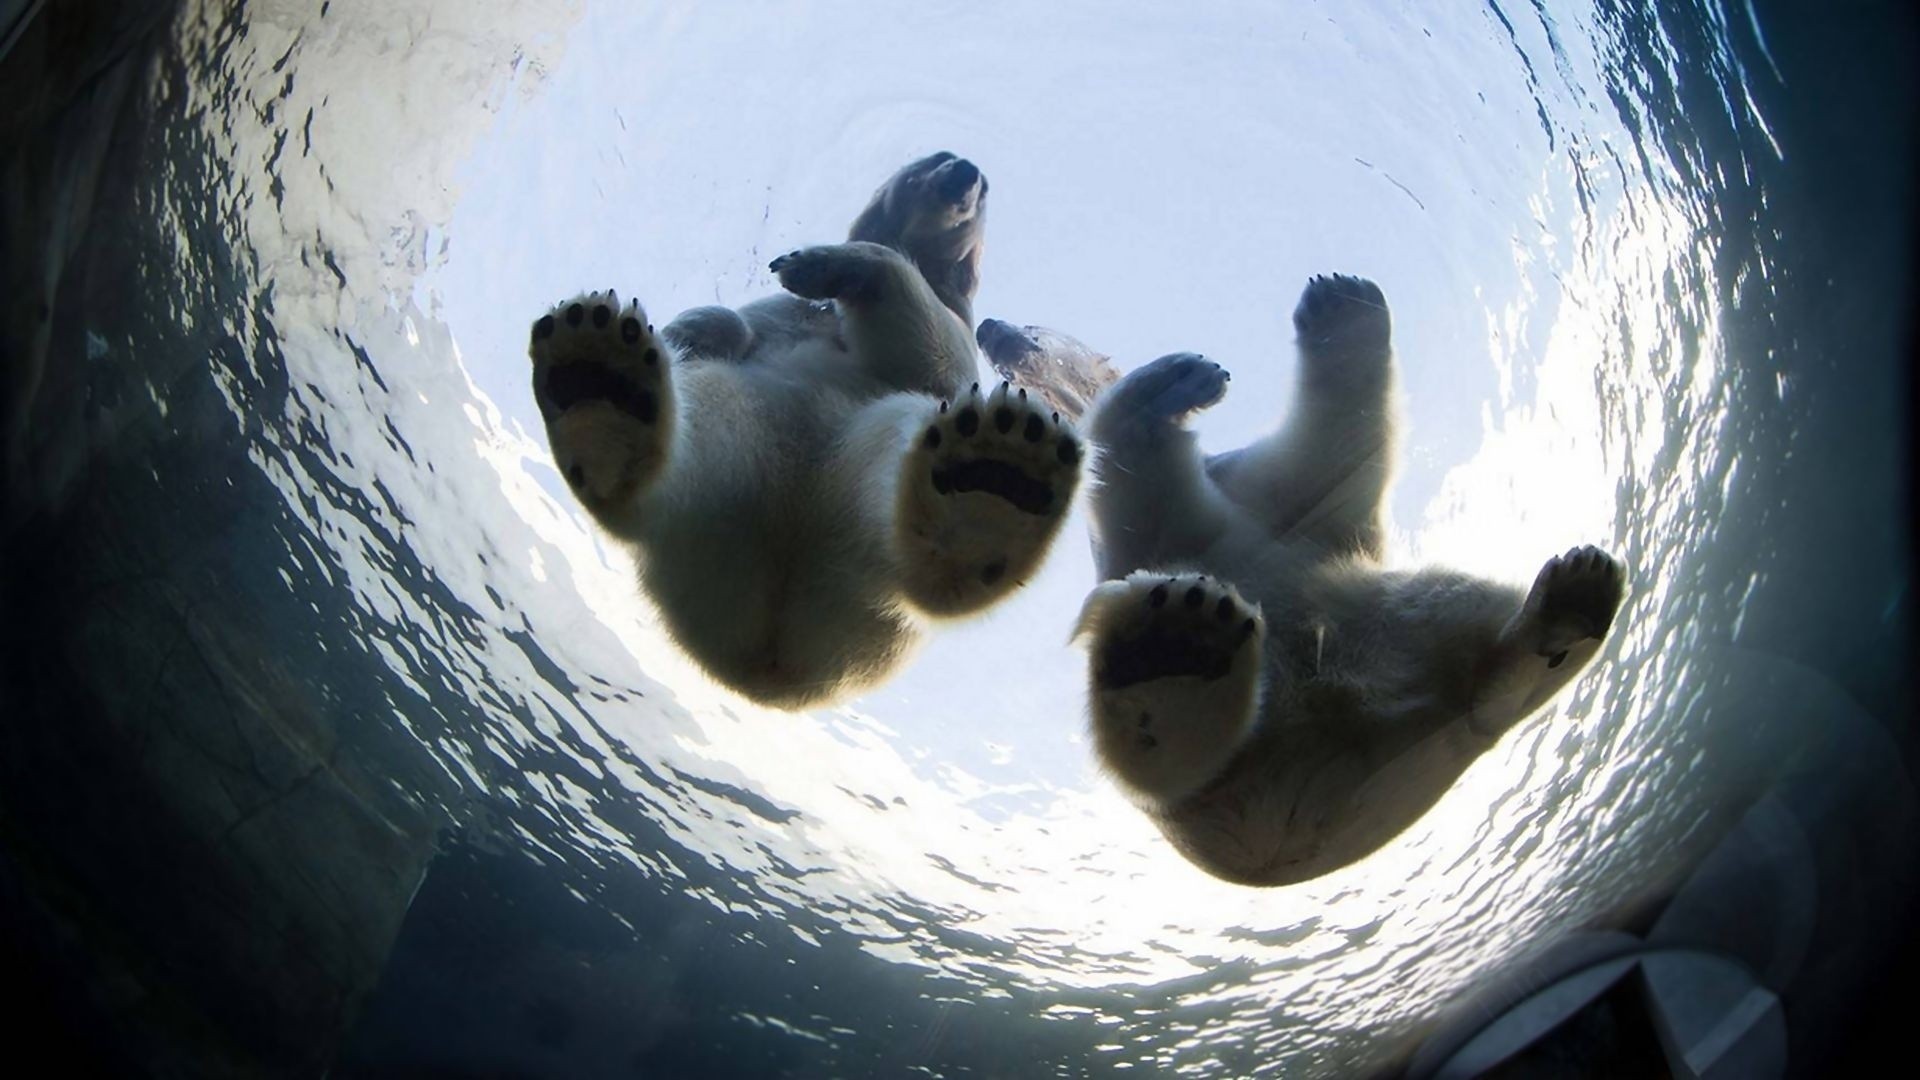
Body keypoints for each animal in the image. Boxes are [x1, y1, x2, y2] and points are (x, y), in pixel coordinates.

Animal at [529, 153, 1083, 709]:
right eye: (936, 159)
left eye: (984, 186)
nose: (964, 171)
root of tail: (774, 669)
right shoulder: (776, 316)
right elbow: (726, 325)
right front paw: (691, 328)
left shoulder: (955, 325)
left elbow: (934, 360)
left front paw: (816, 263)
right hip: (737, 457)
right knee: (705, 412)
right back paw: (601, 388)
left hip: (873, 582)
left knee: (900, 435)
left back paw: (990, 487)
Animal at [979, 274, 1627, 886]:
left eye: (1032, 329)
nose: (988, 327)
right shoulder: (1163, 527)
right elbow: (1138, 463)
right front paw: (1179, 379)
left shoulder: (1283, 508)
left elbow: (1331, 456)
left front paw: (1342, 306)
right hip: (1191, 797)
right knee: (1170, 758)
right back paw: (1174, 651)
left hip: (1389, 621)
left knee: (1465, 641)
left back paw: (1569, 607)